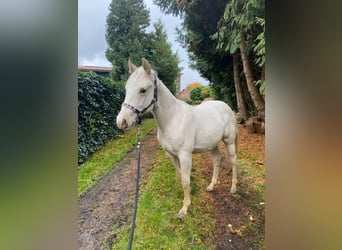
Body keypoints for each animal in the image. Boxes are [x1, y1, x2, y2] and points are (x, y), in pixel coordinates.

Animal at [115, 58, 238, 219]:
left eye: (143, 90)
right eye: (126, 88)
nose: (122, 121)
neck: (173, 119)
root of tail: (226, 107)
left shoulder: (185, 155)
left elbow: (185, 180)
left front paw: (184, 208)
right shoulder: (171, 155)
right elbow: (180, 176)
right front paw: (182, 196)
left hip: (229, 141)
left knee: (233, 161)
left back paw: (234, 187)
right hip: (212, 144)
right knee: (217, 160)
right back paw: (211, 186)